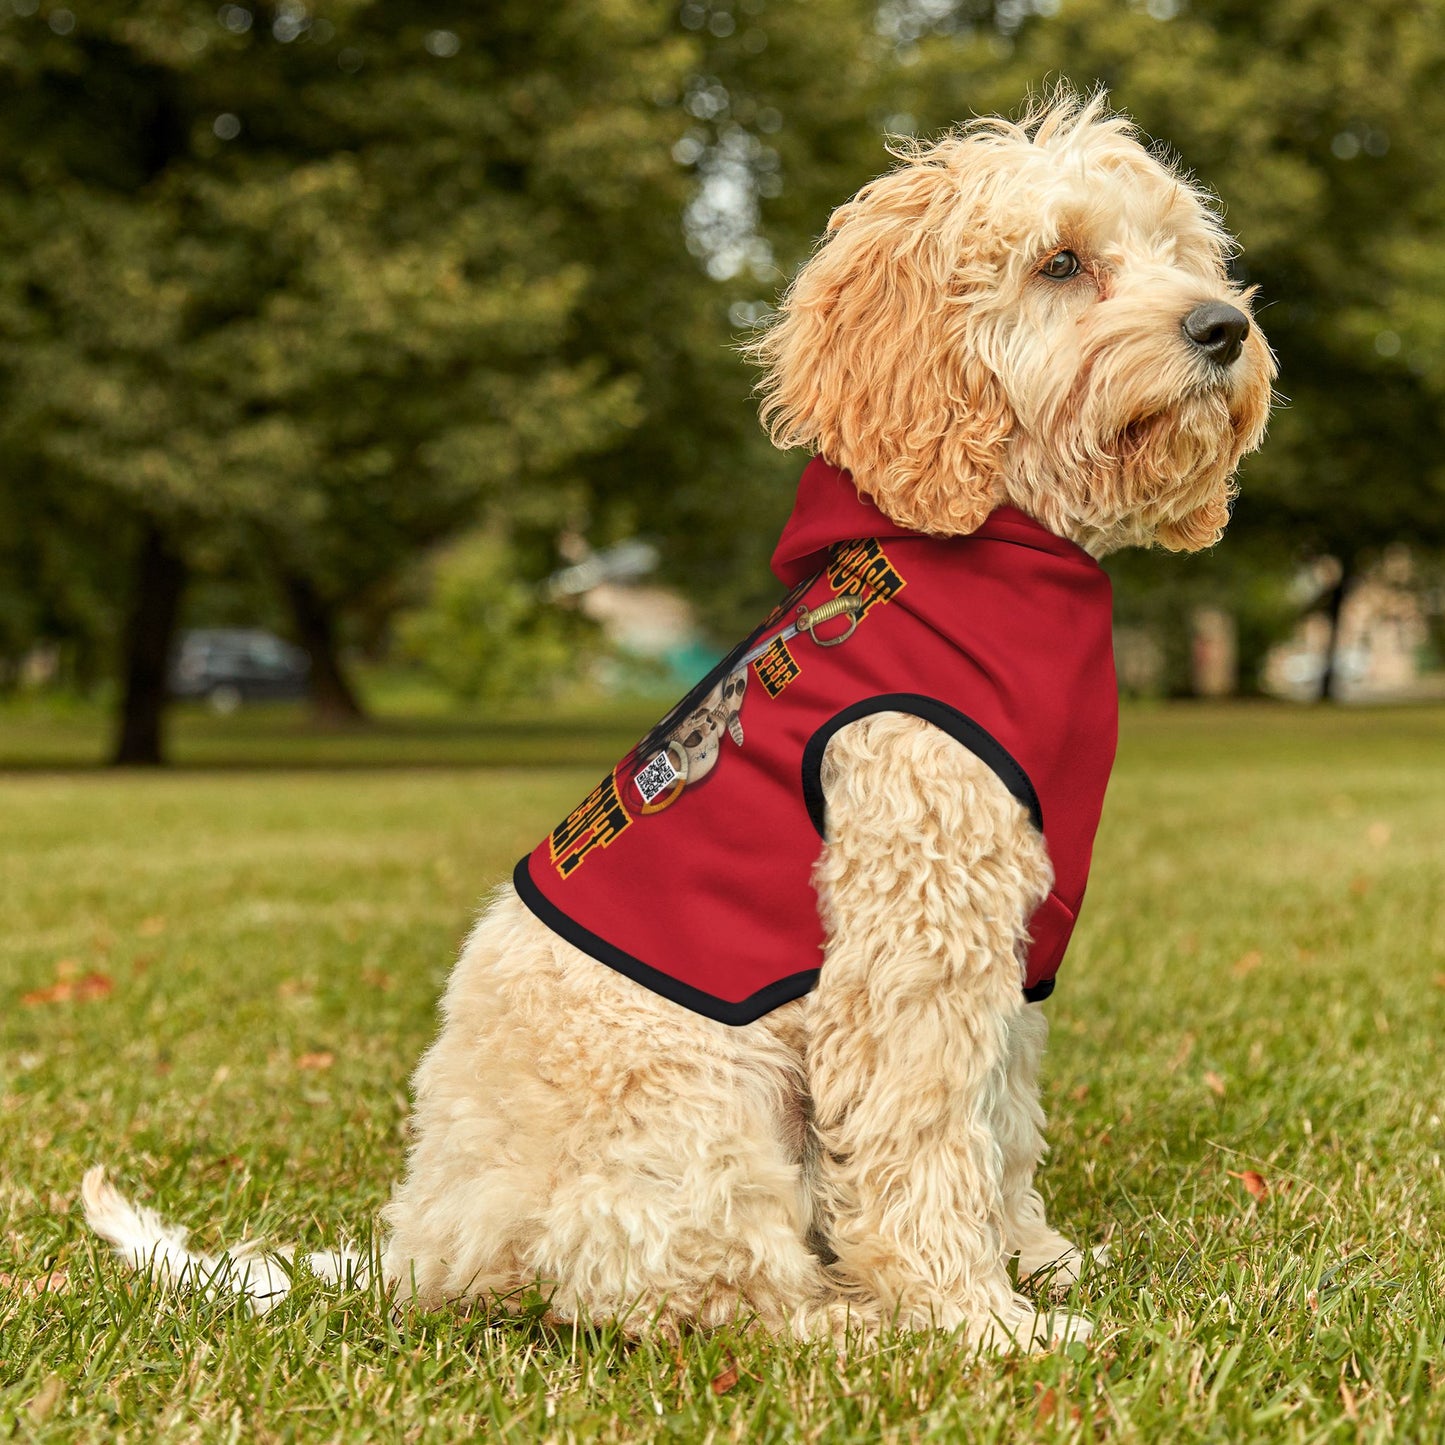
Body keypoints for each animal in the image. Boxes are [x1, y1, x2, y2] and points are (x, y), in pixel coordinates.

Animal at [82, 93, 1277, 1352]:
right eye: (1059, 262)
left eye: (1180, 252)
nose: (1222, 327)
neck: (998, 548)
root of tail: (424, 1247)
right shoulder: (912, 935)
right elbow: (923, 1138)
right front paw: (975, 1318)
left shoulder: (1009, 944)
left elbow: (999, 1121)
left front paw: (1036, 1260)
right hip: (705, 1107)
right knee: (708, 1293)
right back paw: (855, 1321)